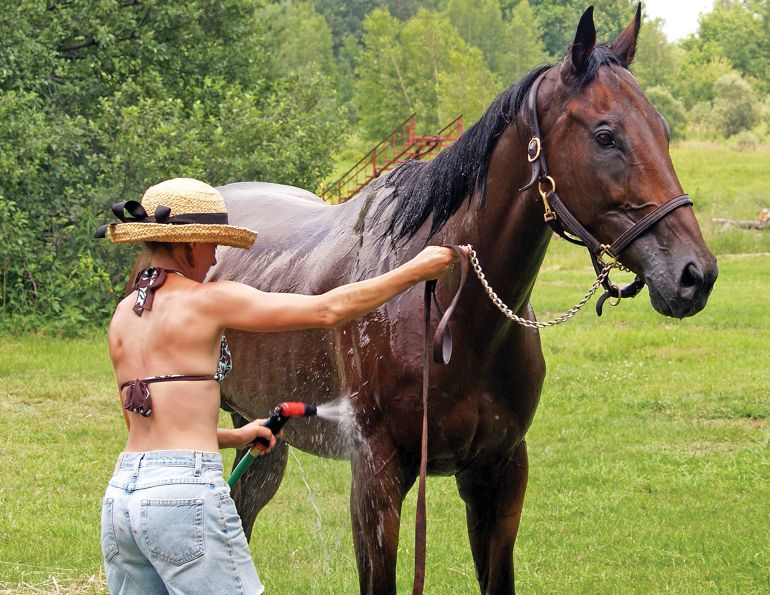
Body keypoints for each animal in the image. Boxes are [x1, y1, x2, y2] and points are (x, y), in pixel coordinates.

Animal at [209, 6, 718, 593]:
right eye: (606, 135)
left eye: (662, 129)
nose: (694, 275)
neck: (452, 315)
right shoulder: (377, 480)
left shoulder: (499, 474)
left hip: (260, 434)